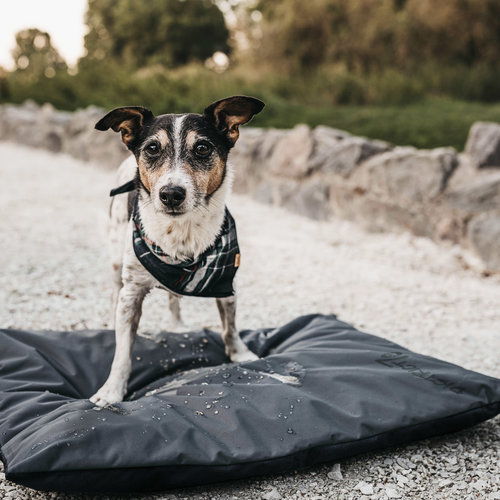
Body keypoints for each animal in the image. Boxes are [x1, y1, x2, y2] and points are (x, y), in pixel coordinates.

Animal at [89, 96, 264, 406]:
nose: (171, 194)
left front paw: (240, 354)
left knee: (173, 298)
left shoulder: (227, 282)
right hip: (115, 261)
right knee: (113, 292)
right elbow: (122, 353)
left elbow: (230, 326)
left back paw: (177, 325)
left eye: (203, 148)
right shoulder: (131, 294)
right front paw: (111, 391)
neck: (181, 232)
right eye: (152, 149)